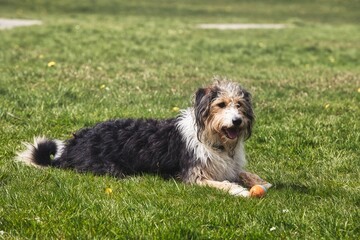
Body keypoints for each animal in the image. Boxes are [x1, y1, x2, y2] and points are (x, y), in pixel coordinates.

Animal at [16, 79, 270, 198]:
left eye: (239, 105)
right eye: (221, 104)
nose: (236, 121)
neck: (214, 141)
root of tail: (70, 148)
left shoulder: (228, 166)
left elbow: (243, 173)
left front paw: (261, 182)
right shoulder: (193, 176)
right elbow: (222, 183)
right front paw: (239, 191)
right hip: (107, 167)